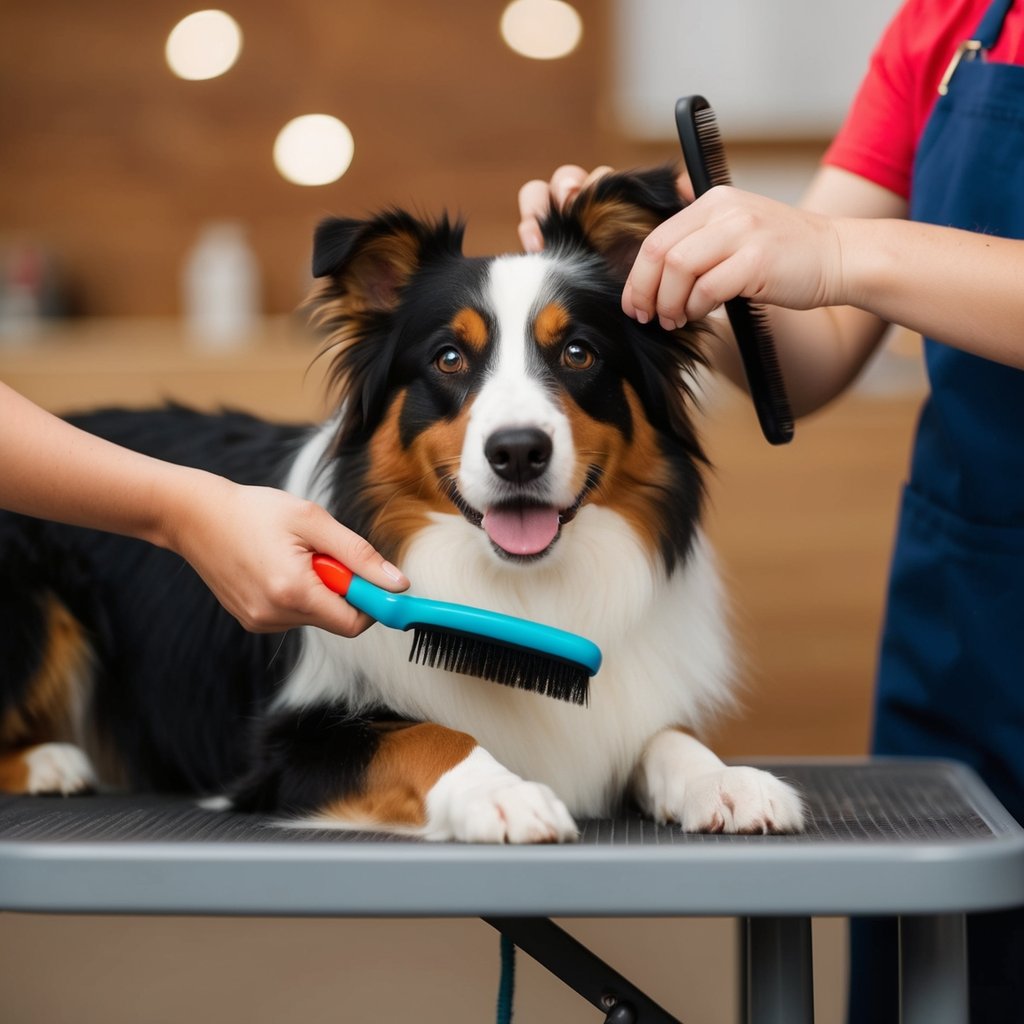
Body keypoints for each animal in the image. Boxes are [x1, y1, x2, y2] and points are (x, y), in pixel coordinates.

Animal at [0, 167, 802, 839]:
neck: (518, 591)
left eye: (578, 353)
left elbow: (667, 735)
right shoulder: (284, 745)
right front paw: (503, 793)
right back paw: (51, 763)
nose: (517, 451)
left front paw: (725, 781)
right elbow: (429, 734)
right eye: (449, 358)